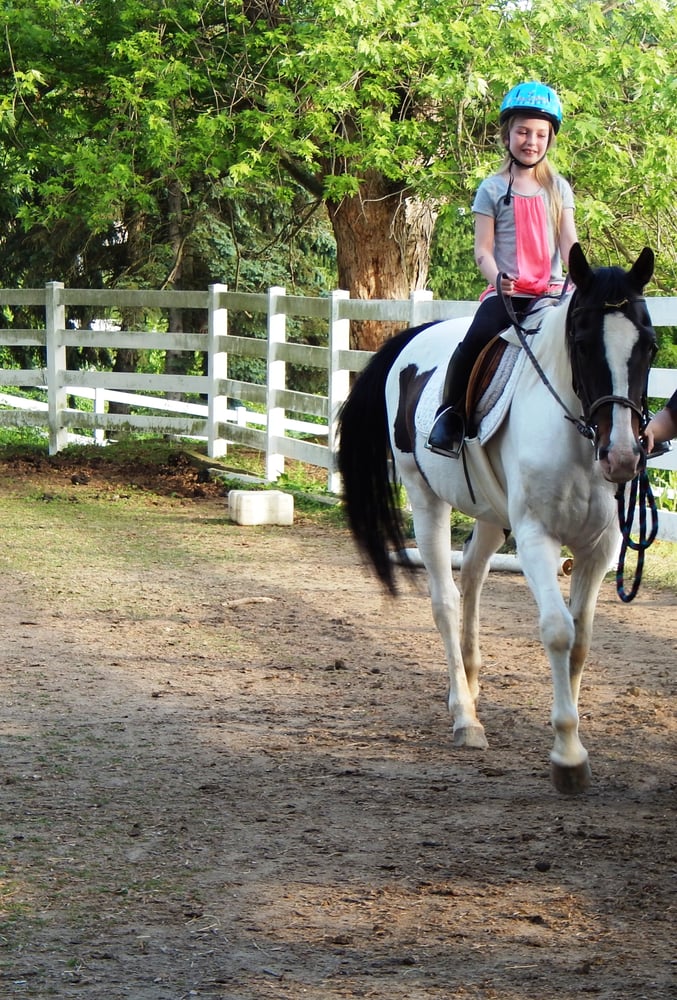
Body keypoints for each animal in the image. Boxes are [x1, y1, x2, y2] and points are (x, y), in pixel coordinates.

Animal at [338, 243, 656, 794]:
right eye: (581, 341)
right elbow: (557, 630)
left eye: (650, 346)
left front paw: (571, 739)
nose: (621, 457)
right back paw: (465, 717)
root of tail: (416, 336)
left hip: (490, 515)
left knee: (472, 580)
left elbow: (581, 640)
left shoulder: (600, 548)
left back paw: (469, 683)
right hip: (426, 500)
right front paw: (567, 755)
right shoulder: (535, 538)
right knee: (445, 600)